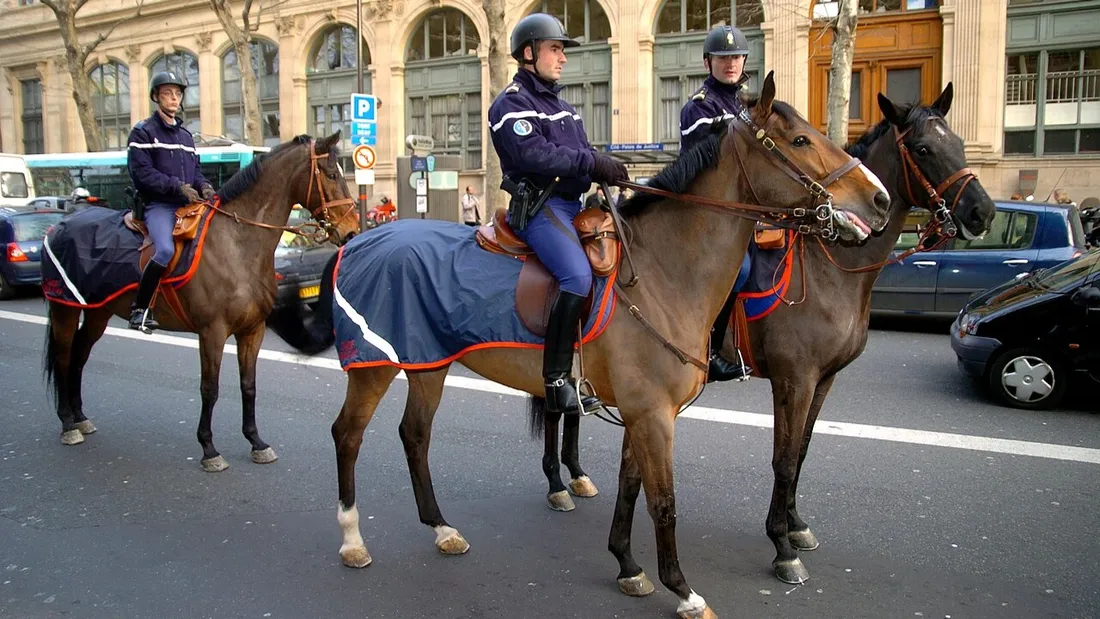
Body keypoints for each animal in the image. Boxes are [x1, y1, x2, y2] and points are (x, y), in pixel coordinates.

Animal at [42, 132, 359, 472]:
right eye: (332, 174)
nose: (352, 230)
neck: (237, 243)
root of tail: (59, 225)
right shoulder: (212, 332)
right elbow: (210, 389)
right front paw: (209, 449)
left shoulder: (252, 331)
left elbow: (249, 386)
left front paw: (256, 442)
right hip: (64, 308)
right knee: (64, 357)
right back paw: (68, 424)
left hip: (97, 312)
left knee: (79, 355)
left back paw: (80, 417)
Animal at [266, 73, 891, 619]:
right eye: (800, 140)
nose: (879, 200)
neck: (664, 271)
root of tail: (359, 239)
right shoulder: (658, 412)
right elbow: (664, 502)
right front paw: (684, 590)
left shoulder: (644, 412)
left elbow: (631, 488)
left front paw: (628, 566)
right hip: (373, 367)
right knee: (347, 436)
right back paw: (352, 539)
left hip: (428, 364)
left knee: (414, 436)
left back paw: (442, 529)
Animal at [531, 85, 997, 586]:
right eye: (924, 149)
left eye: (962, 145)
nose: (983, 212)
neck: (832, 266)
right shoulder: (795, 377)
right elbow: (784, 458)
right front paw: (782, 544)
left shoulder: (824, 379)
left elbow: (802, 451)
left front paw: (795, 525)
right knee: (558, 408)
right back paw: (558, 483)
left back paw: (574, 475)